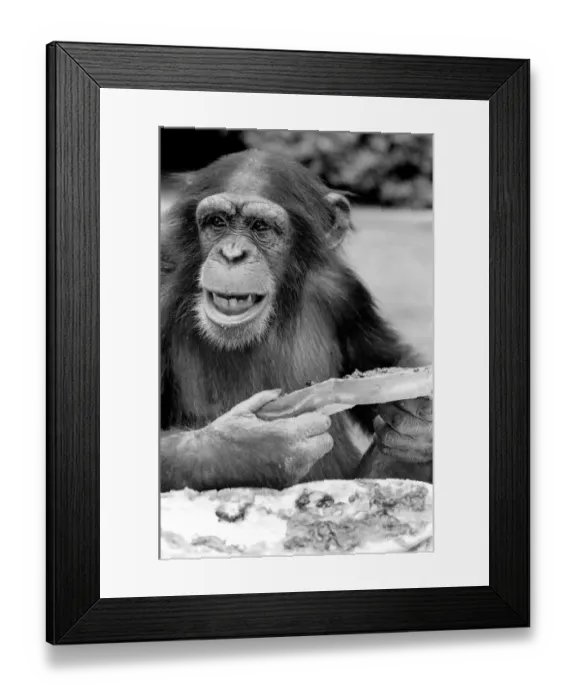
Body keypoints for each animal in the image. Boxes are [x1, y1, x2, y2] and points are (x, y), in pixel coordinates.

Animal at [159, 149, 432, 492]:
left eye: (261, 226)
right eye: (216, 222)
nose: (232, 254)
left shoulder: (344, 289)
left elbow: (382, 358)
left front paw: (418, 423)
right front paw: (252, 445)